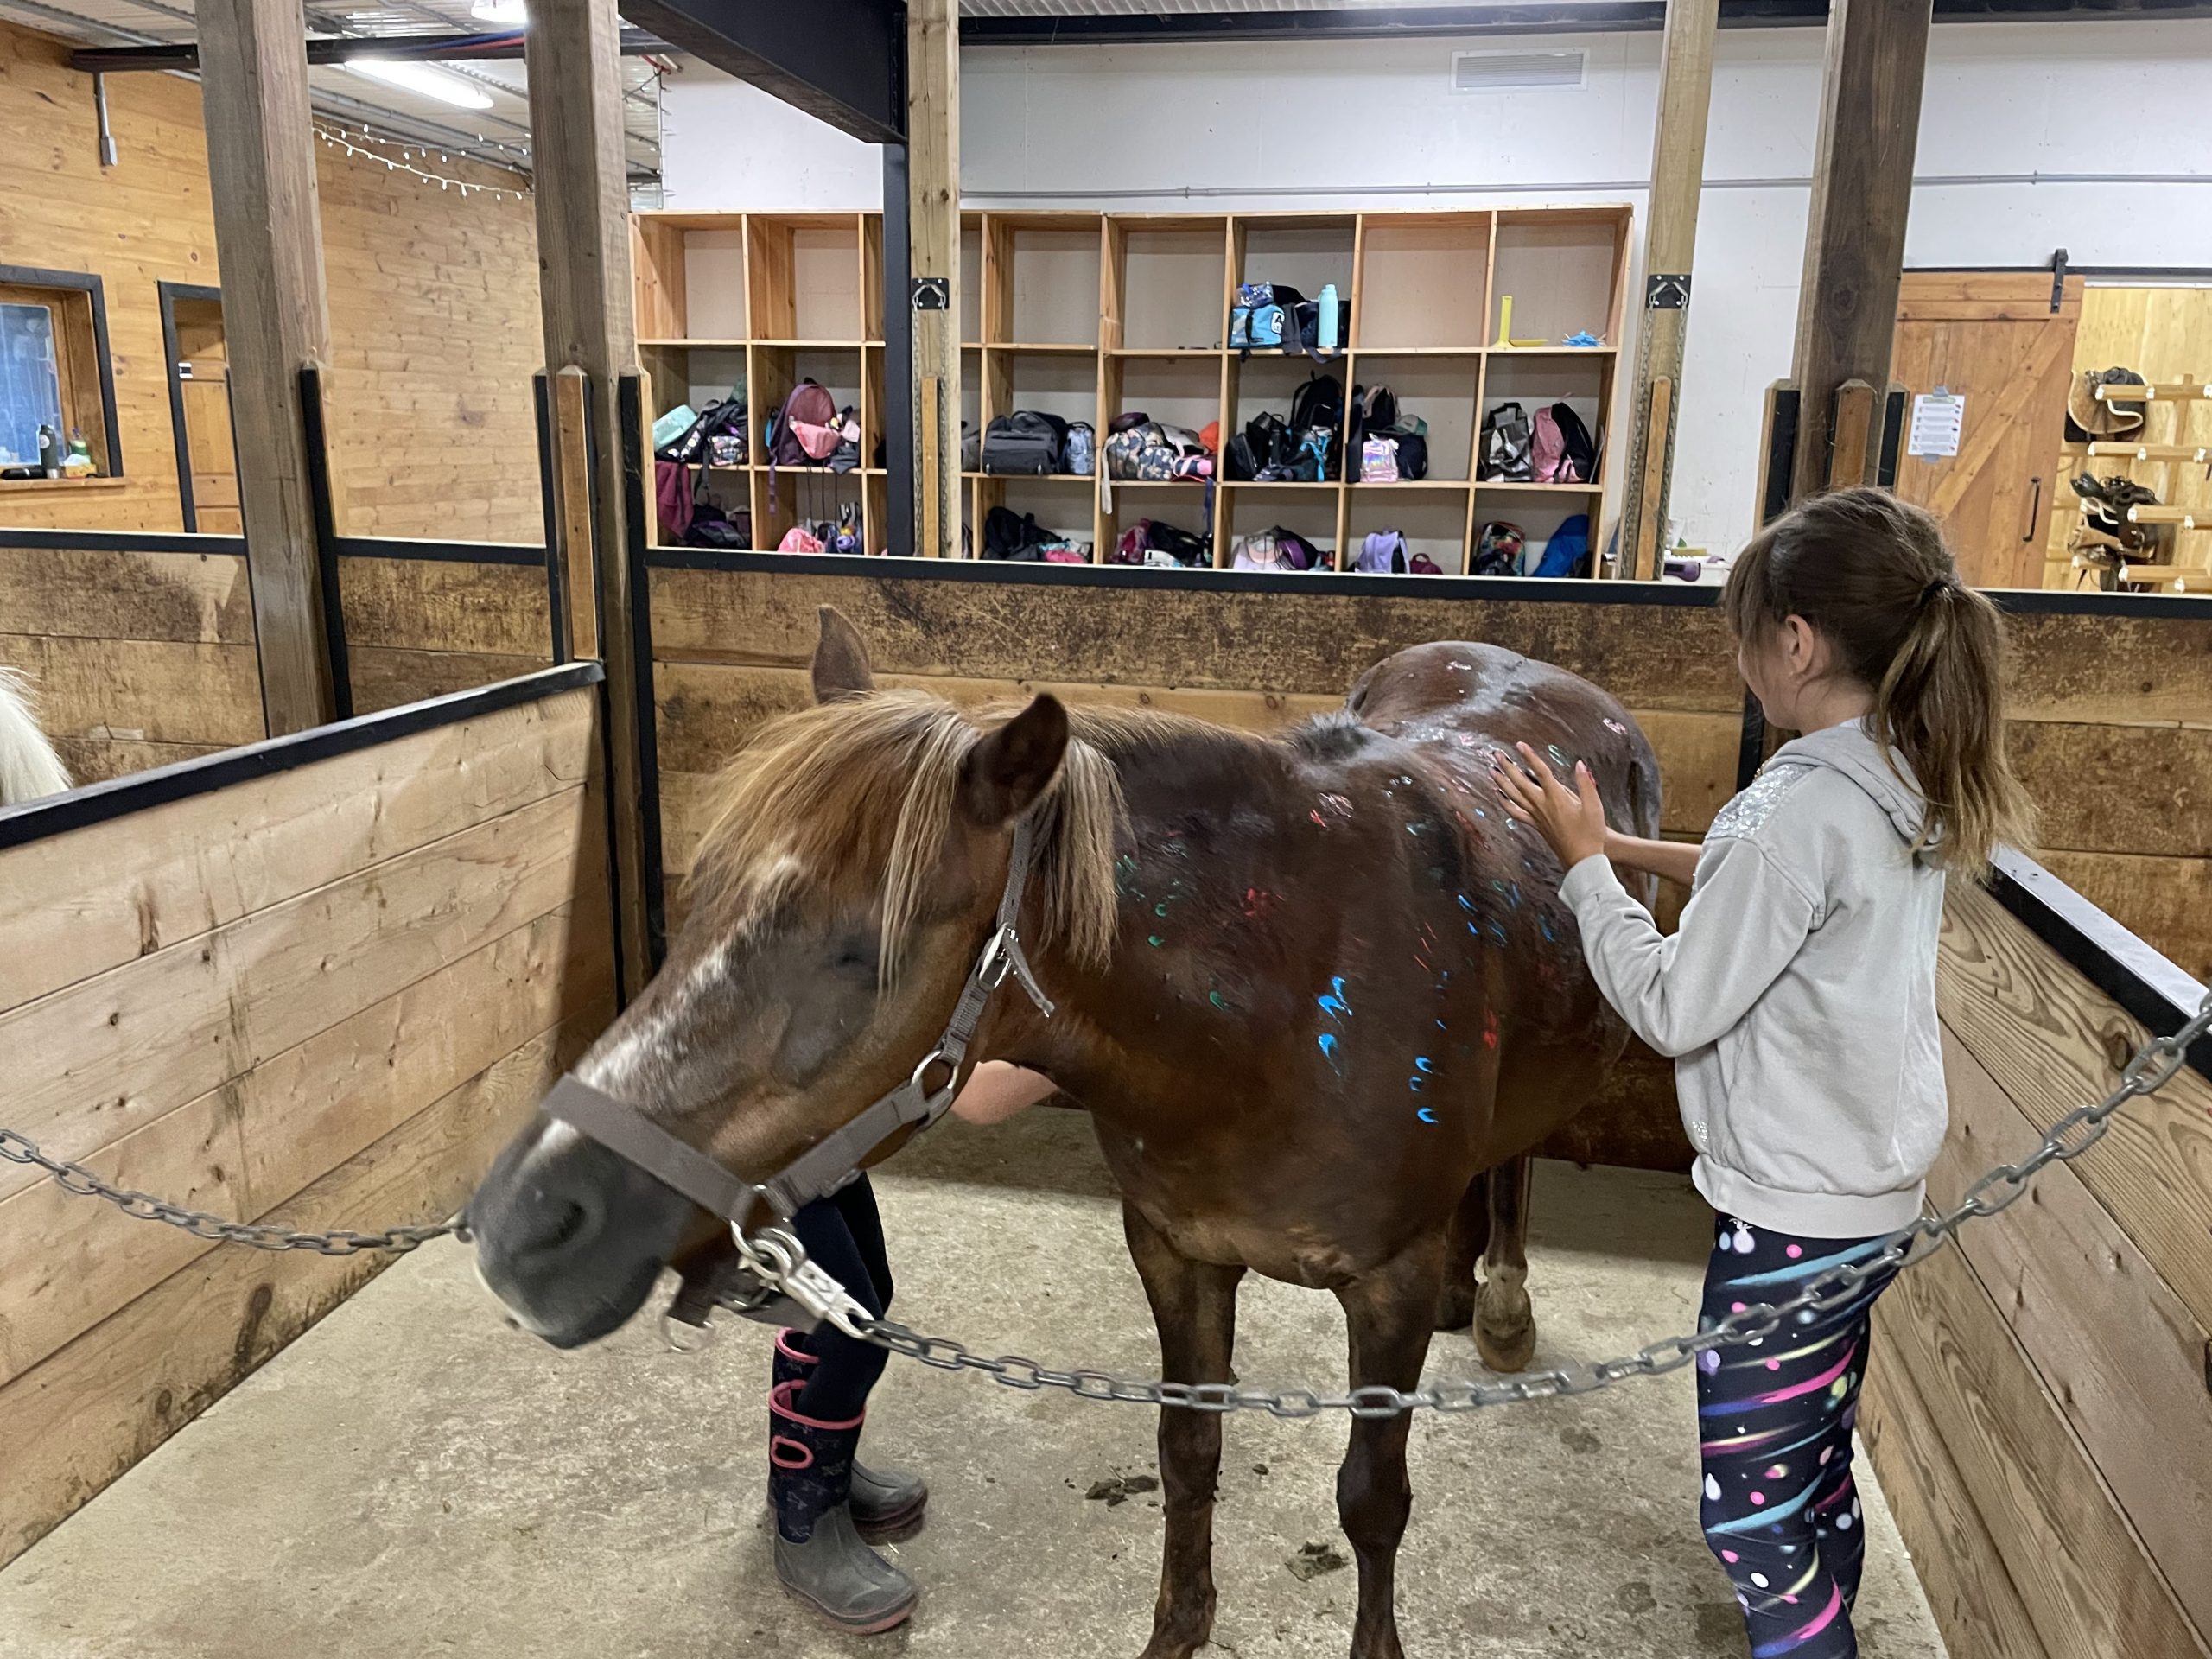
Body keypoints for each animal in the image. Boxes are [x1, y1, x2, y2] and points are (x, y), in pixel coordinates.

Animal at [469, 607, 1660, 1659]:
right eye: (700, 897)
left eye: (859, 951)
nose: (521, 1227)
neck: (1285, 1002)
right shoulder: (1175, 1252)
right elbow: (1188, 1455)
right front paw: (1175, 1634)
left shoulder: (1386, 1289)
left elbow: (1372, 1501)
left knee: (1513, 1164)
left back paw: (1499, 1300)